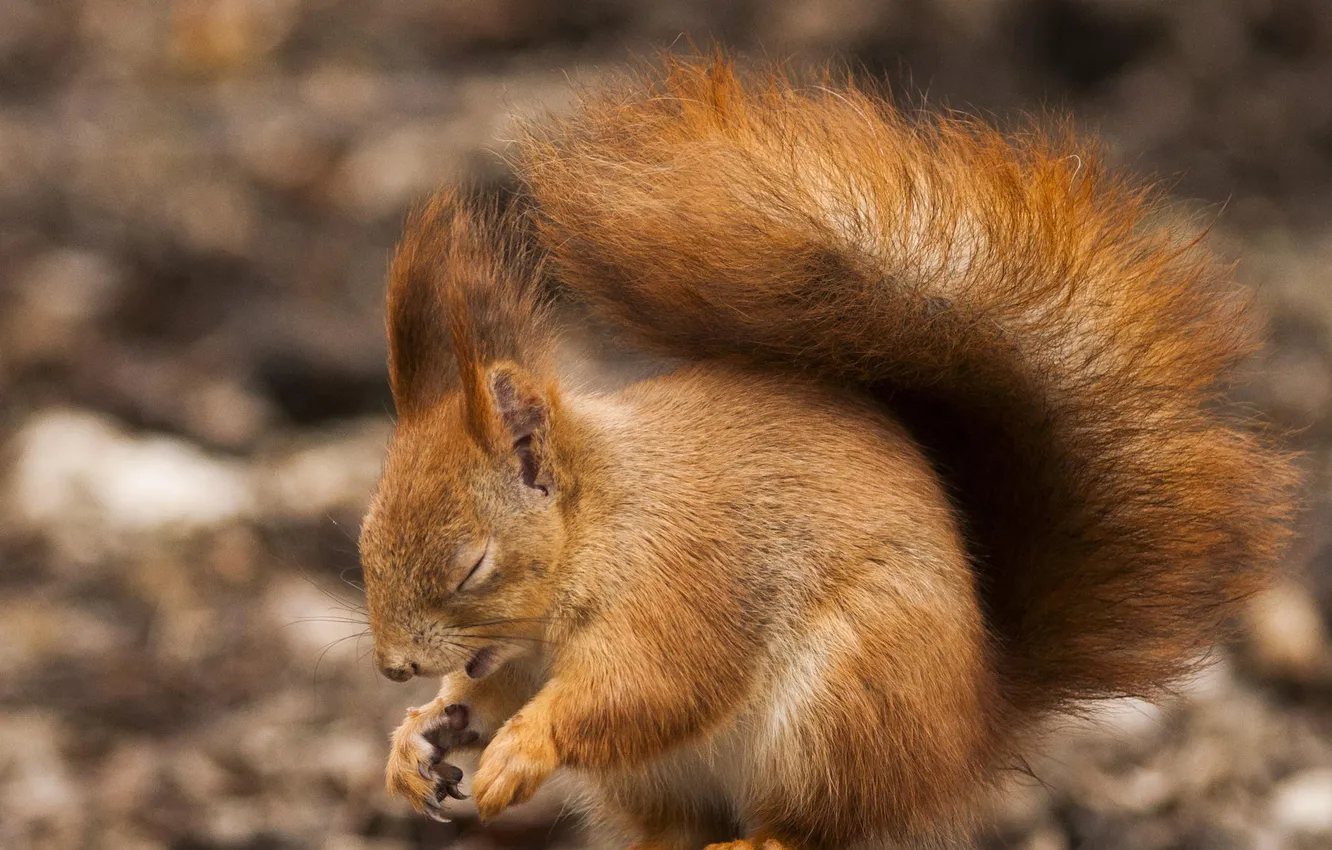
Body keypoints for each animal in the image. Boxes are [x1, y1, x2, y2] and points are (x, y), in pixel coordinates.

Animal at [356, 54, 1297, 849]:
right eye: (361, 547)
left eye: (472, 567)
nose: (394, 668)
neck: (604, 520)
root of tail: (970, 731)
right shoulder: (519, 655)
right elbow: (486, 690)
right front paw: (422, 736)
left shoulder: (684, 583)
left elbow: (650, 687)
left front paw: (520, 748)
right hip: (674, 777)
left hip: (842, 711)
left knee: (823, 826)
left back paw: (759, 841)